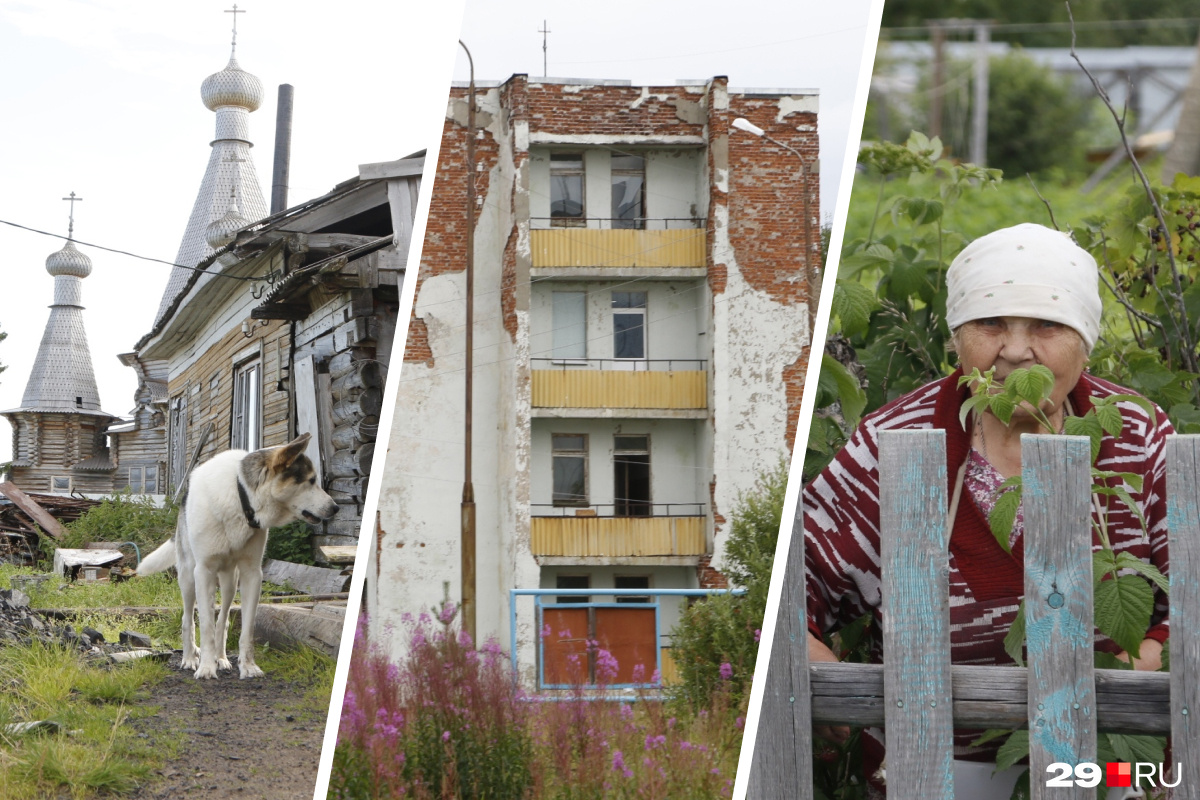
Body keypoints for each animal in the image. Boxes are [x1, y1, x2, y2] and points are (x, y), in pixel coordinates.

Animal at [139, 434, 338, 681]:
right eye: (310, 480)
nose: (336, 508)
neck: (240, 497)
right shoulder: (203, 572)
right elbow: (204, 625)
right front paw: (206, 667)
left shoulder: (252, 574)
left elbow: (246, 628)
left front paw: (247, 666)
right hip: (187, 578)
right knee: (188, 620)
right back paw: (190, 658)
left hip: (229, 582)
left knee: (222, 620)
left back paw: (221, 658)